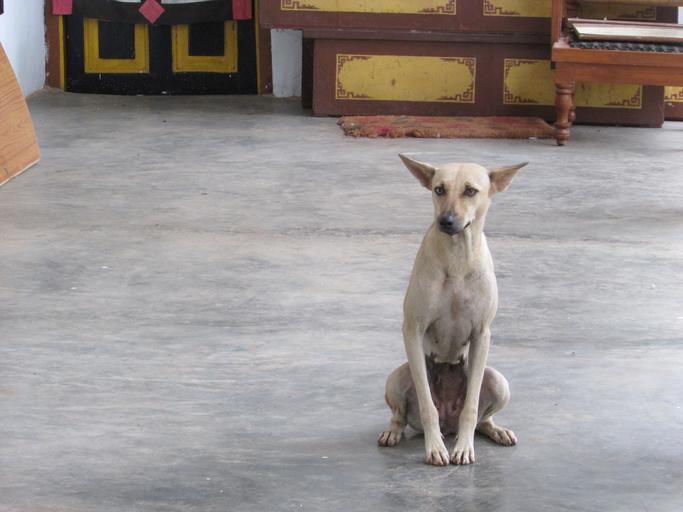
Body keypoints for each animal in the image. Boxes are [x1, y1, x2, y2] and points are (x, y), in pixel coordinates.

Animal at [378, 154, 527, 466]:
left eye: (470, 190)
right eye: (439, 189)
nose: (444, 221)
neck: (457, 257)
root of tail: (449, 424)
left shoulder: (482, 334)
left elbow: (471, 408)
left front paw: (464, 448)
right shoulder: (413, 329)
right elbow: (427, 404)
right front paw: (434, 447)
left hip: (498, 381)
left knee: (482, 418)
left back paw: (496, 430)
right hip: (396, 378)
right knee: (399, 415)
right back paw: (394, 432)